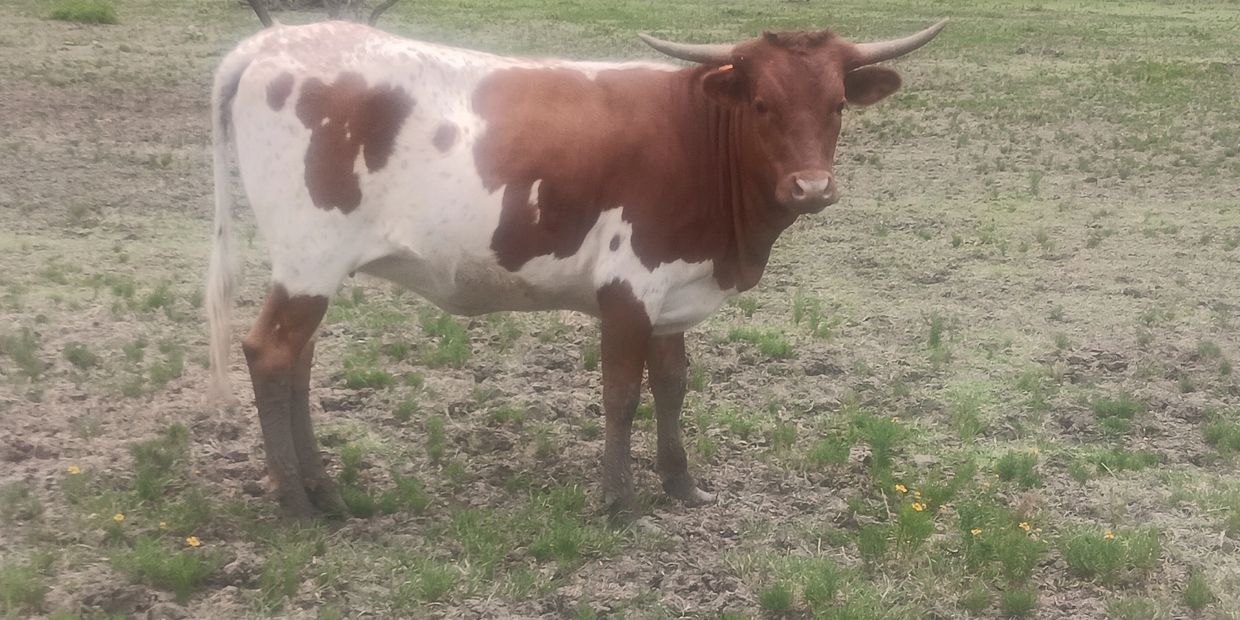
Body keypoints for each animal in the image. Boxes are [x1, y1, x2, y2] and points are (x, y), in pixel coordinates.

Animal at [206, 17, 947, 518]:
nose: (811, 188)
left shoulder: (674, 288)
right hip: (310, 257)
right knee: (271, 354)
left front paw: (682, 483)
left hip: (311, 270)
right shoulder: (628, 287)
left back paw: (324, 491)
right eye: (763, 104)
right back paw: (298, 503)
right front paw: (618, 501)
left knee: (298, 365)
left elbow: (672, 385)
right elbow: (620, 393)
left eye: (836, 105)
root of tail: (273, 43)